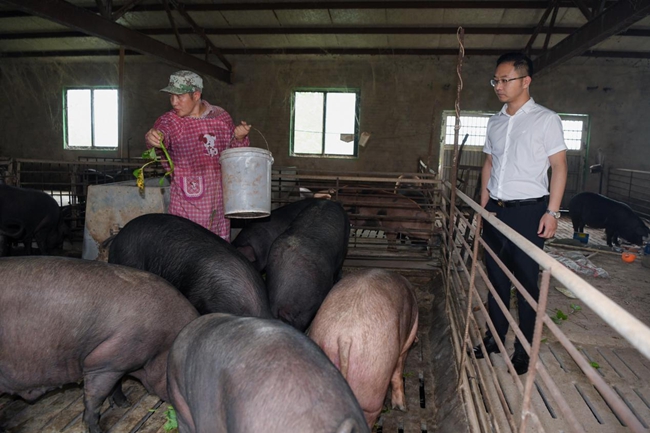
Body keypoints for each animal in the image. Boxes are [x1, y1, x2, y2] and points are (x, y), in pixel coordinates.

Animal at [0, 255, 197, 432]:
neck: (163, 346)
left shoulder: (119, 365)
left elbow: (117, 385)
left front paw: (125, 404)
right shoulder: (104, 362)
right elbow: (95, 400)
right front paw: (99, 429)